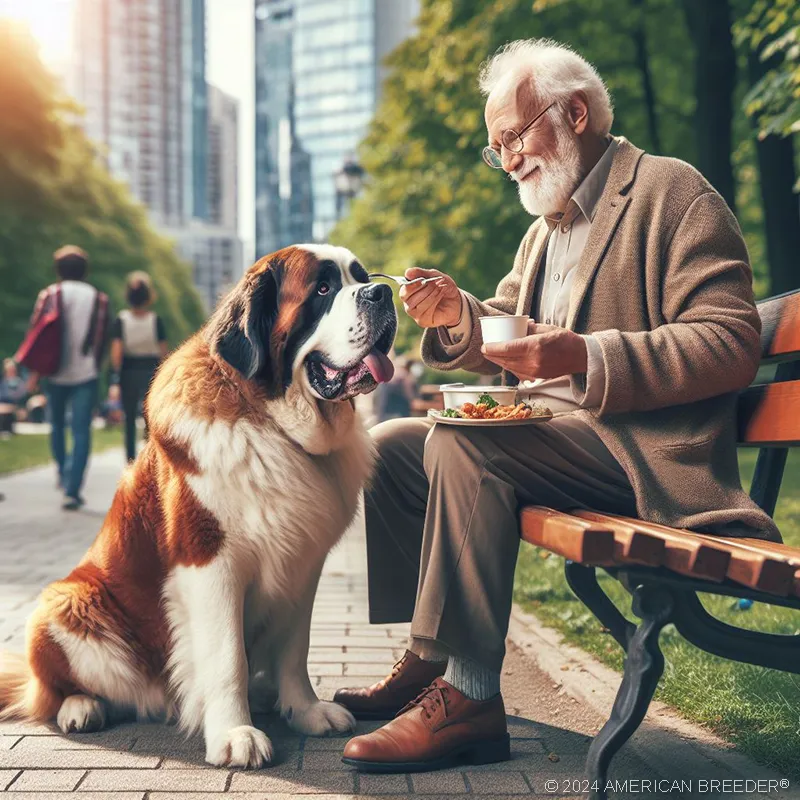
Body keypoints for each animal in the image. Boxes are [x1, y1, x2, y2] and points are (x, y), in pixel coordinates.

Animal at [0, 244, 398, 768]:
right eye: (323, 288)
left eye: (362, 276)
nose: (383, 292)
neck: (273, 426)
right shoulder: (210, 561)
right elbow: (227, 657)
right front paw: (234, 734)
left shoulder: (303, 562)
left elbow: (295, 647)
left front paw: (305, 710)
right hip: (64, 602)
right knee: (51, 691)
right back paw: (81, 708)